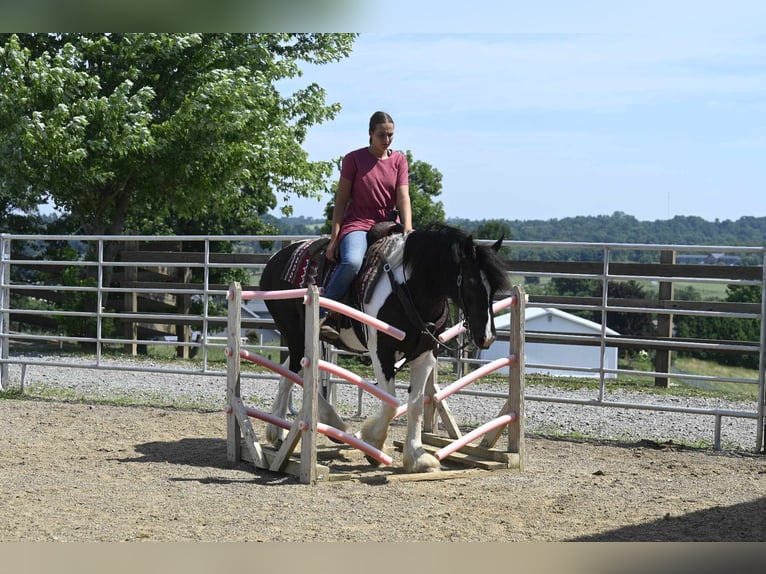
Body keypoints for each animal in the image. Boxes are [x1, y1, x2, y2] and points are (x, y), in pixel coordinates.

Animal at [260, 223, 510, 474]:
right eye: (471, 284)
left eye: (495, 289)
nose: (486, 336)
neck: (411, 289)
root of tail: (275, 259)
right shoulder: (381, 351)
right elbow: (391, 402)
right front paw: (373, 444)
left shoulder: (426, 354)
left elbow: (415, 405)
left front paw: (417, 456)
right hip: (296, 335)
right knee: (297, 371)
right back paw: (327, 424)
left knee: (290, 373)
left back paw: (283, 432)